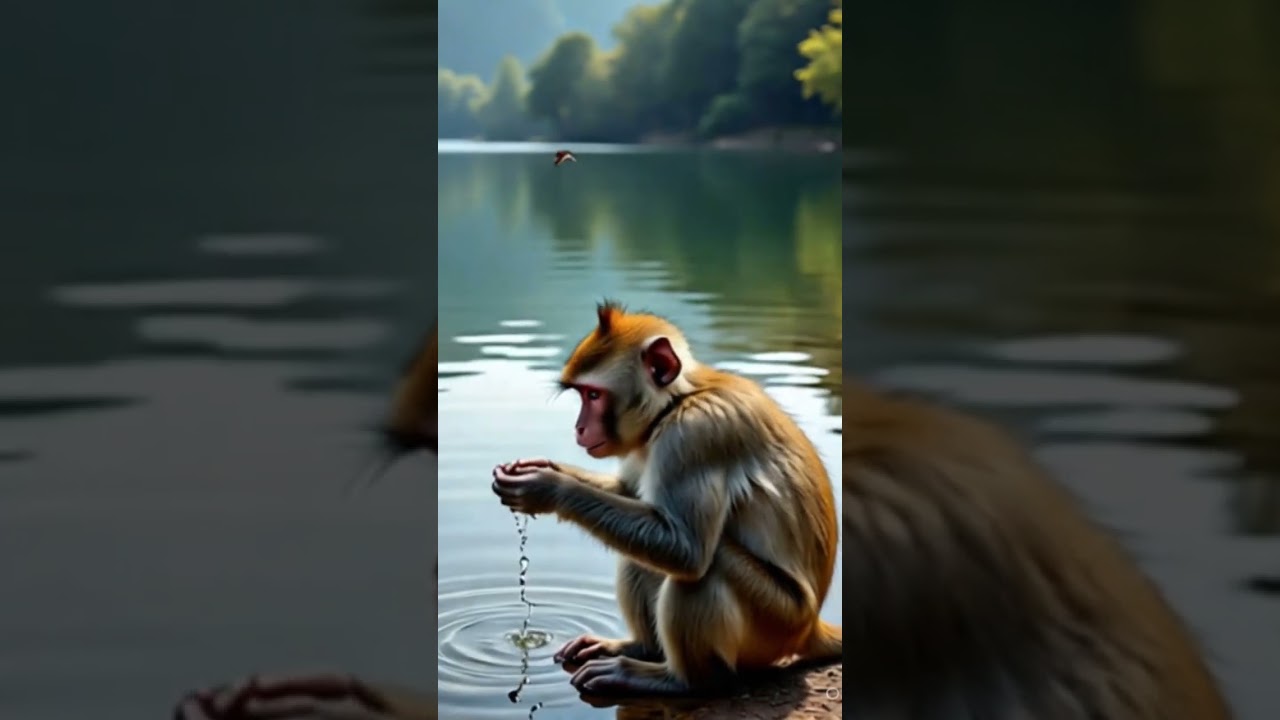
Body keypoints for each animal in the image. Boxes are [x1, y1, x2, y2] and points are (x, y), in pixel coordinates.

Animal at [491, 301, 842, 697]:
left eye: (593, 395)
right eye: (581, 394)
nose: (579, 428)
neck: (676, 402)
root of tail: (810, 626)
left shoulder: (694, 435)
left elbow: (684, 548)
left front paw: (547, 487)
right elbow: (632, 496)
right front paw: (536, 468)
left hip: (775, 623)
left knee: (703, 568)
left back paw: (674, 679)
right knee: (642, 552)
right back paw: (640, 648)